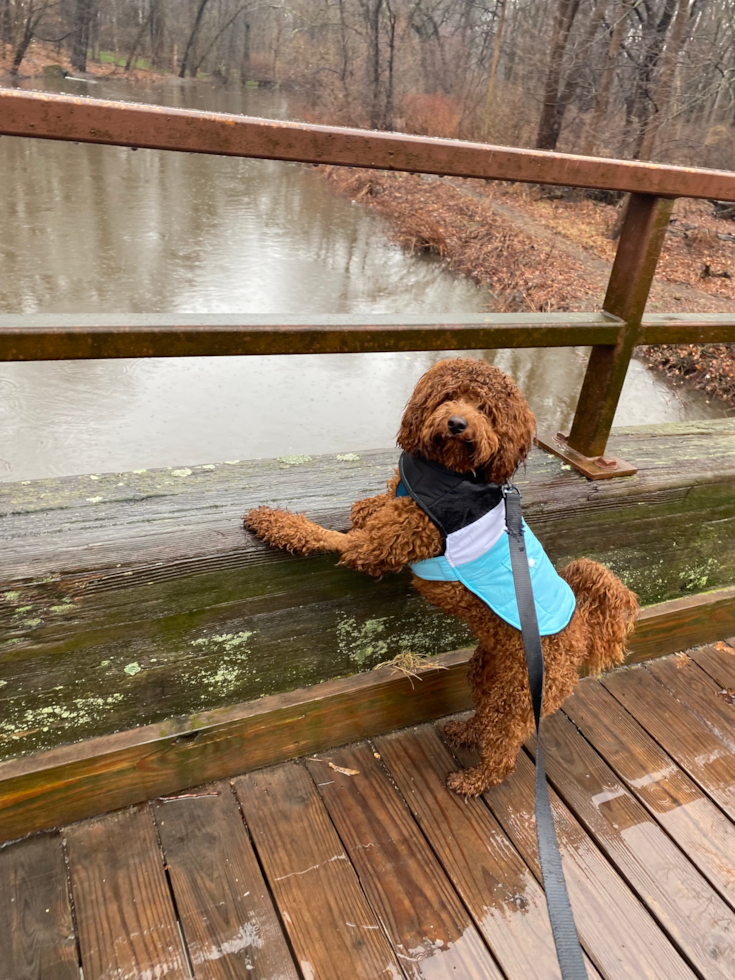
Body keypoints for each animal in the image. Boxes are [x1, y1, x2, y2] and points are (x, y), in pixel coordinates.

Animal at [243, 360, 640, 796]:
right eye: (449, 395)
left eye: (486, 410)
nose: (457, 424)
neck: (450, 471)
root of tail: (582, 626)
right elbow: (372, 505)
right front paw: (364, 505)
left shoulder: (378, 547)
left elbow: (327, 537)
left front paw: (273, 522)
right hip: (490, 670)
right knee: (484, 716)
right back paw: (464, 732)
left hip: (519, 694)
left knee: (504, 744)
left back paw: (474, 780)